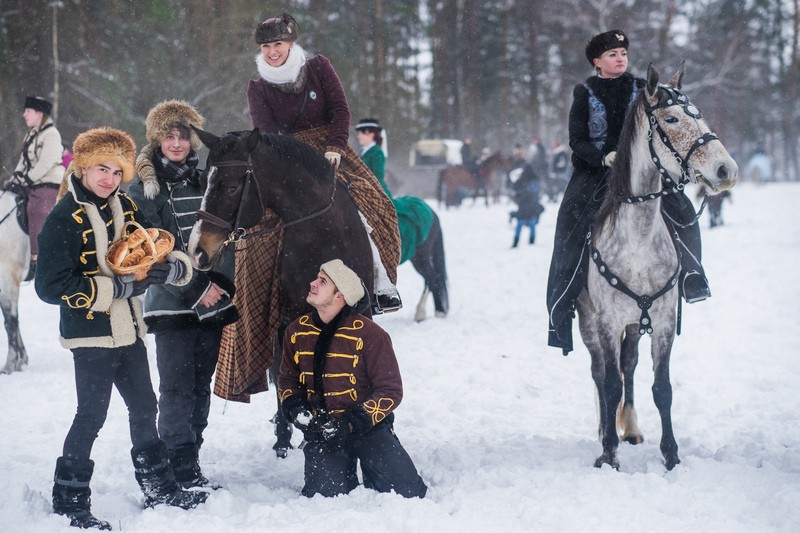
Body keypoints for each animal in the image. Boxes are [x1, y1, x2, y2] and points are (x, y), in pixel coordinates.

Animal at [576, 65, 736, 470]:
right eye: (672, 118)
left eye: (699, 113)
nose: (726, 169)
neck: (638, 241)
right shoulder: (606, 322)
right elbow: (609, 384)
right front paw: (608, 454)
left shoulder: (661, 321)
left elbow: (661, 388)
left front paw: (671, 455)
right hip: (588, 322)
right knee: (600, 373)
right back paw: (604, 430)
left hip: (636, 325)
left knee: (629, 365)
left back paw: (629, 428)